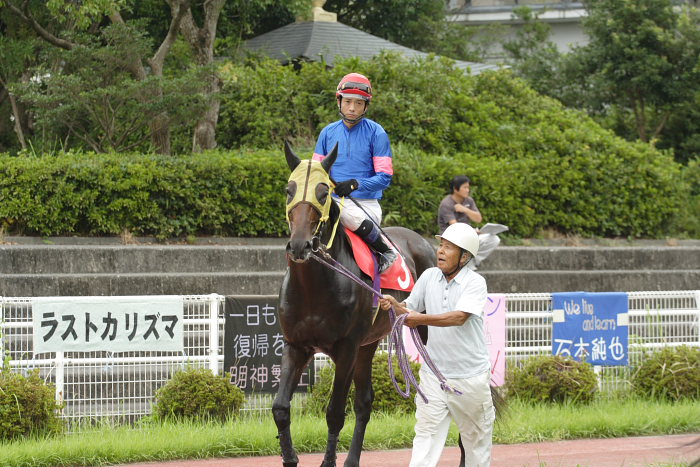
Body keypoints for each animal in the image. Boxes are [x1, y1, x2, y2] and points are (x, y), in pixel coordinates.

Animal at [274, 143, 438, 467]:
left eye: (323, 192)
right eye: (289, 190)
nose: (299, 245)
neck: (314, 287)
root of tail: (423, 242)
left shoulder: (346, 348)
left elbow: (335, 413)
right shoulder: (296, 345)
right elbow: (280, 408)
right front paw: (290, 457)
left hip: (422, 330)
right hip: (368, 345)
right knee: (364, 402)